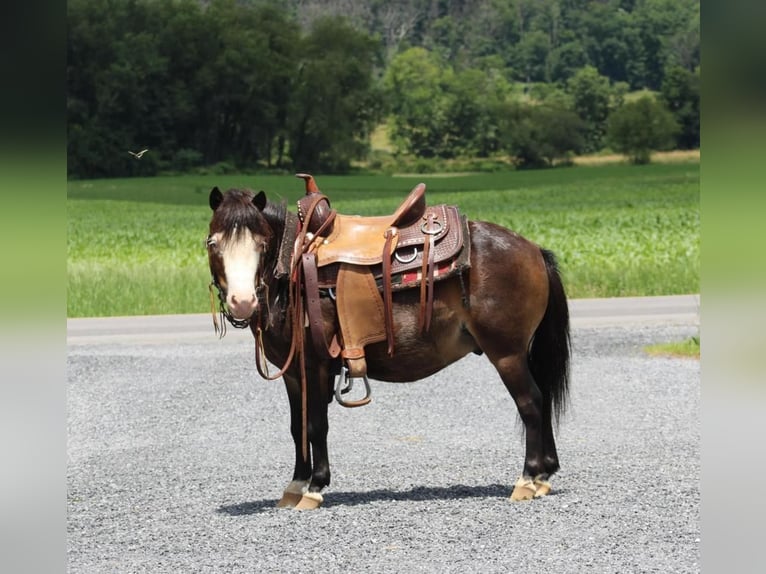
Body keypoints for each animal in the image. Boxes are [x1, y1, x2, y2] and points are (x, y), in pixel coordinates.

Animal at [206, 182, 568, 510]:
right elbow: (298, 427)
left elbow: (316, 424)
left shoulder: (316, 365)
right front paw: (295, 485)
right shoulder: (294, 373)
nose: (242, 302)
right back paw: (544, 477)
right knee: (542, 397)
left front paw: (315, 487)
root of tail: (534, 250)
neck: (291, 266)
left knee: (531, 403)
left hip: (507, 354)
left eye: (262, 242)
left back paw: (527, 479)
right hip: (520, 353)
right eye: (213, 243)